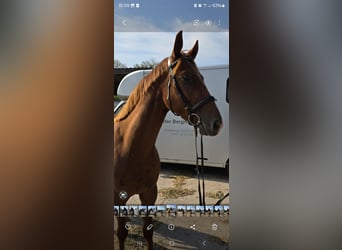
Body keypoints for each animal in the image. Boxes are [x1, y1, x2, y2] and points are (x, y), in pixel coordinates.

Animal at [113, 31, 223, 250]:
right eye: (186, 77)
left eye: (202, 77)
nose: (217, 123)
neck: (131, 148)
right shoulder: (118, 197)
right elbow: (121, 233)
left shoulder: (149, 193)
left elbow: (148, 231)